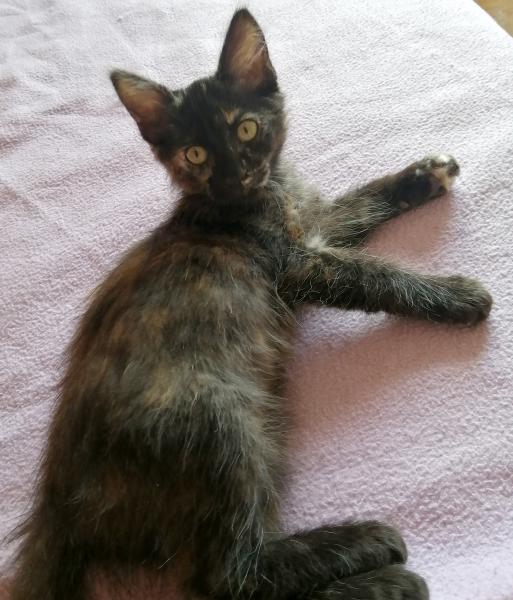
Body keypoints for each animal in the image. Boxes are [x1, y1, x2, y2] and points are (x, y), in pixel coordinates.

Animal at [10, 8, 492, 600]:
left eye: (245, 128)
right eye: (194, 154)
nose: (234, 172)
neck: (262, 195)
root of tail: (57, 506)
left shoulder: (314, 226)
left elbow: (359, 202)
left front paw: (424, 174)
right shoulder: (301, 265)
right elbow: (375, 275)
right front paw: (458, 294)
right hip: (223, 425)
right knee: (229, 579)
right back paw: (378, 559)